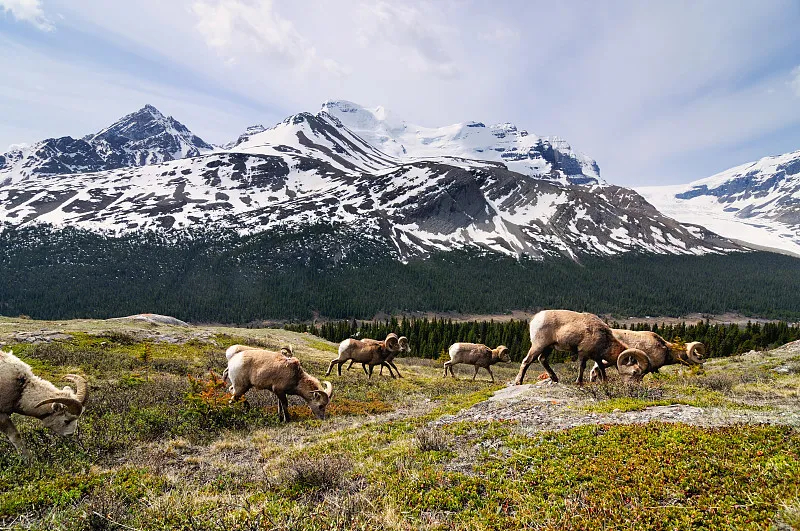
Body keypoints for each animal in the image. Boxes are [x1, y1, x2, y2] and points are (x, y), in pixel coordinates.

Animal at [512, 308, 648, 386]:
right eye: (635, 372)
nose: (634, 386)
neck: (604, 338)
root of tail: (535, 319)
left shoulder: (597, 357)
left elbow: (601, 368)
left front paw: (605, 381)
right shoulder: (583, 353)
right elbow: (582, 367)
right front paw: (579, 382)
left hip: (548, 347)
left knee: (542, 360)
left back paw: (555, 379)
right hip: (538, 346)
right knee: (527, 361)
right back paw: (519, 382)